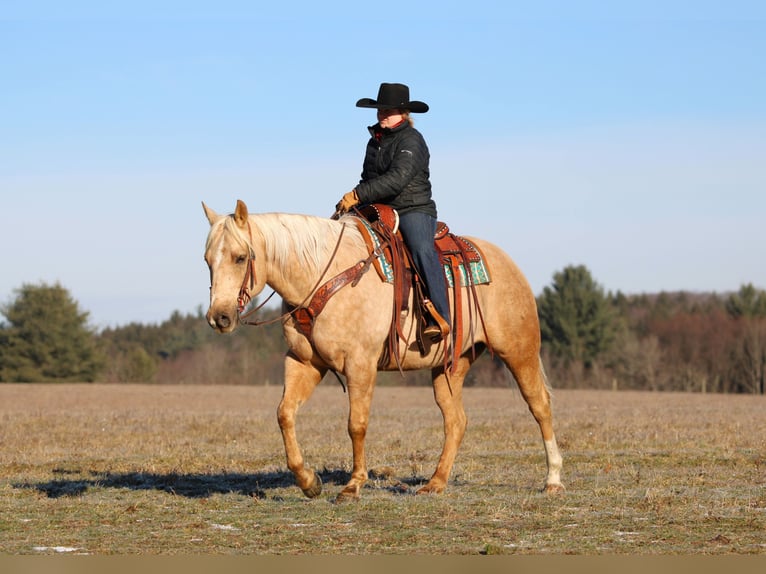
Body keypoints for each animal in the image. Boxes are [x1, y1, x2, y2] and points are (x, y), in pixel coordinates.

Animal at [202, 199, 564, 502]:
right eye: (207, 261)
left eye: (240, 257)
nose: (219, 317)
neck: (323, 277)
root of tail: (508, 264)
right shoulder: (304, 362)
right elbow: (284, 414)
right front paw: (309, 482)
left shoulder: (360, 364)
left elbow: (356, 424)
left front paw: (352, 486)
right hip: (450, 367)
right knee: (456, 421)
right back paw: (435, 483)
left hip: (519, 353)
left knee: (540, 407)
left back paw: (553, 480)